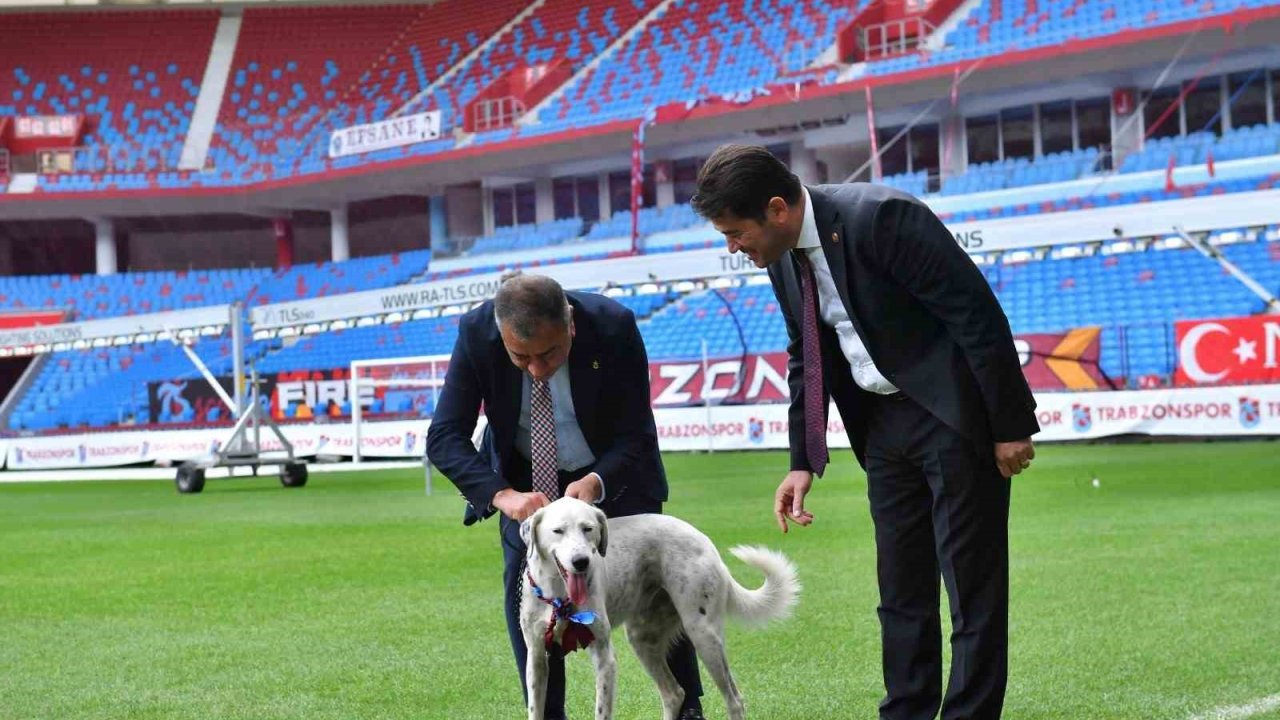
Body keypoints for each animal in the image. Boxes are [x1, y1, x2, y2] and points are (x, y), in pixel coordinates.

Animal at [519, 497, 798, 717]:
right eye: (558, 530)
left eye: (588, 529)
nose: (581, 561)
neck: (558, 592)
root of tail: (705, 541)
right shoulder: (536, 657)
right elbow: (535, 708)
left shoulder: (604, 656)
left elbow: (601, 710)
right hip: (644, 638)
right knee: (674, 693)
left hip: (704, 636)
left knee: (734, 700)